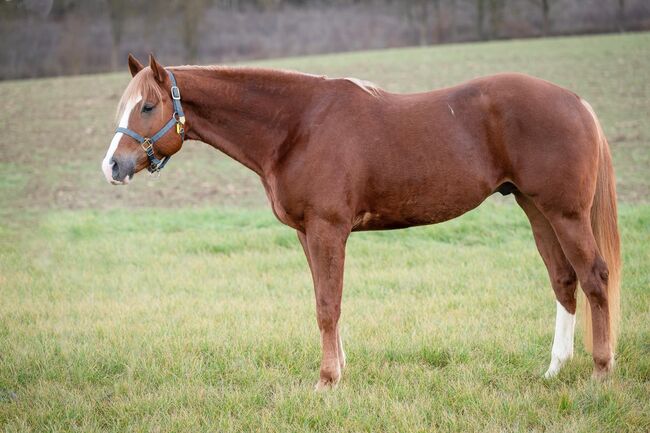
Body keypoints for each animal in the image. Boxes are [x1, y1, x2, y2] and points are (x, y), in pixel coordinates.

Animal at [101, 54, 616, 388]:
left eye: (148, 106)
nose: (112, 166)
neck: (297, 125)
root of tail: (577, 101)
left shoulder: (328, 229)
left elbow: (328, 305)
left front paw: (327, 381)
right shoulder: (308, 235)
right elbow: (325, 301)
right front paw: (339, 371)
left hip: (565, 213)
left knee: (594, 276)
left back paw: (601, 370)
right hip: (535, 208)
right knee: (563, 279)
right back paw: (554, 369)